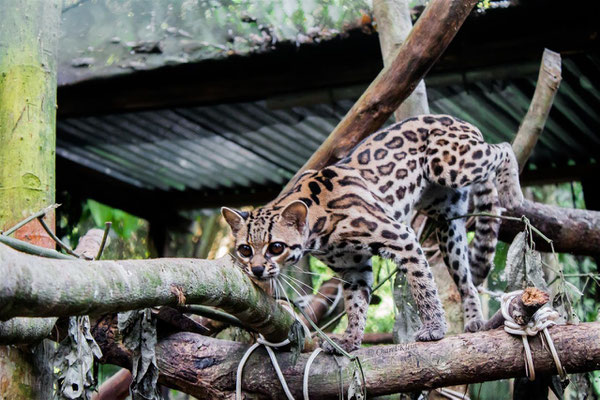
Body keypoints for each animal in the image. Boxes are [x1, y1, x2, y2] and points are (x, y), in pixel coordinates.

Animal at [223, 114, 524, 352]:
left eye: (276, 247)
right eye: (245, 249)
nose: (257, 269)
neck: (318, 233)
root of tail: (458, 119)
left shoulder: (401, 236)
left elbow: (423, 286)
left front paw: (434, 327)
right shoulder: (353, 268)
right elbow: (355, 305)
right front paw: (350, 340)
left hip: (452, 164)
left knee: (503, 148)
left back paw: (512, 191)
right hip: (448, 227)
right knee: (466, 280)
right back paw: (473, 319)